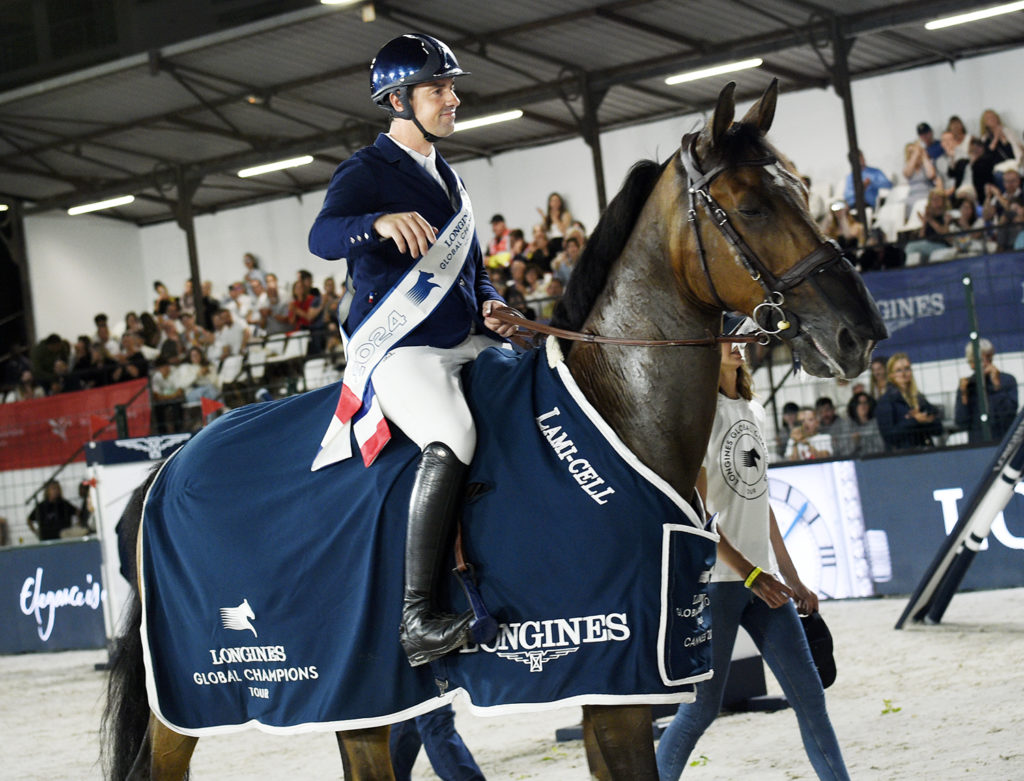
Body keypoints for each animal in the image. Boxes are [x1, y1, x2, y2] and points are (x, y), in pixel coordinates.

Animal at [101, 80, 888, 781]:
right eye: (752, 206)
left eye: (803, 191)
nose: (861, 334)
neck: (616, 407)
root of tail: (170, 465)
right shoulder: (614, 678)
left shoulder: (623, 675)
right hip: (192, 701)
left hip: (350, 689)